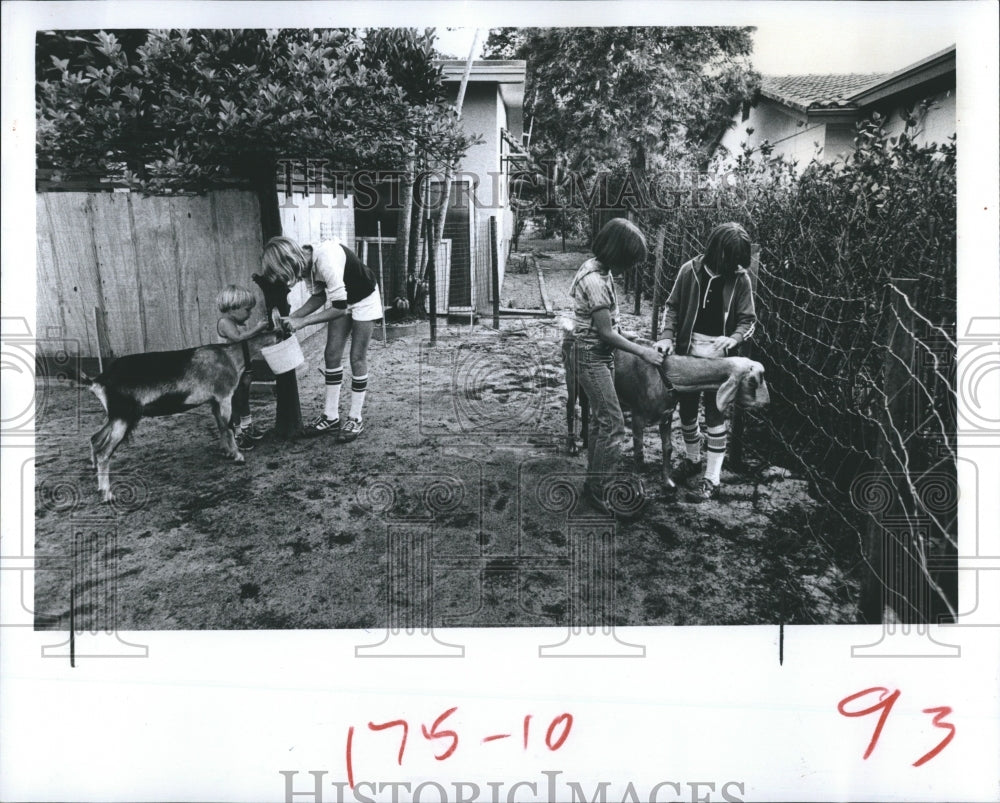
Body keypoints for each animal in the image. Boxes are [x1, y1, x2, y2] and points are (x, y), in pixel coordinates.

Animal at [76, 330, 282, 500]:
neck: (231, 356)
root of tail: (98, 380)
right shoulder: (224, 396)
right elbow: (228, 427)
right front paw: (237, 455)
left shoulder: (213, 401)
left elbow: (220, 426)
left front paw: (226, 451)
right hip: (123, 417)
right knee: (104, 451)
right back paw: (107, 493)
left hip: (115, 416)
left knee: (95, 438)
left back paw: (95, 470)